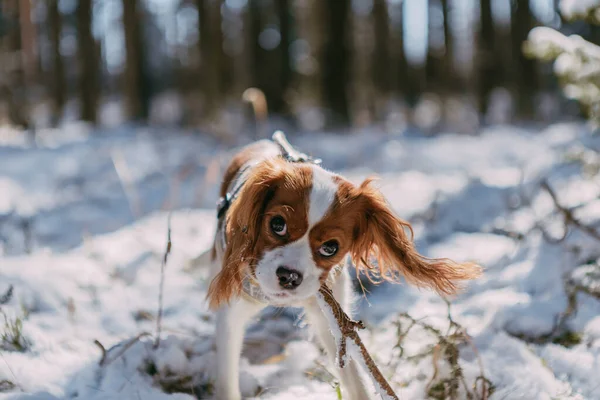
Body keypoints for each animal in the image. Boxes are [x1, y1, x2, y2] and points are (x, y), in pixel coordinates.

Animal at [206, 133, 482, 398]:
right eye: (277, 224)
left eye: (330, 248)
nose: (289, 277)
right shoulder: (231, 315)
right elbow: (227, 383)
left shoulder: (334, 320)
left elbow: (355, 380)